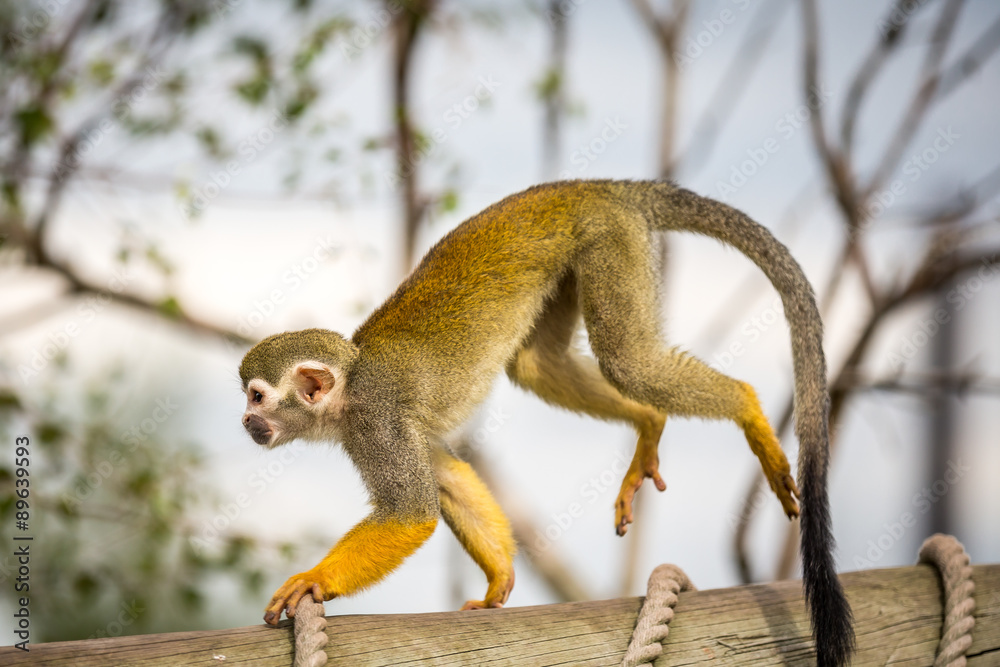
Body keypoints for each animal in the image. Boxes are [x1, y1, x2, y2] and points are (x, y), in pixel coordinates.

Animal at [239, 179, 854, 666]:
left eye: (257, 395)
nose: (246, 422)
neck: (349, 390)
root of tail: (592, 186)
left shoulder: (375, 420)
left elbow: (411, 512)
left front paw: (314, 580)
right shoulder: (389, 428)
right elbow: (443, 479)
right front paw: (497, 582)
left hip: (608, 239)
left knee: (627, 360)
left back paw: (746, 408)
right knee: (538, 365)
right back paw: (649, 420)